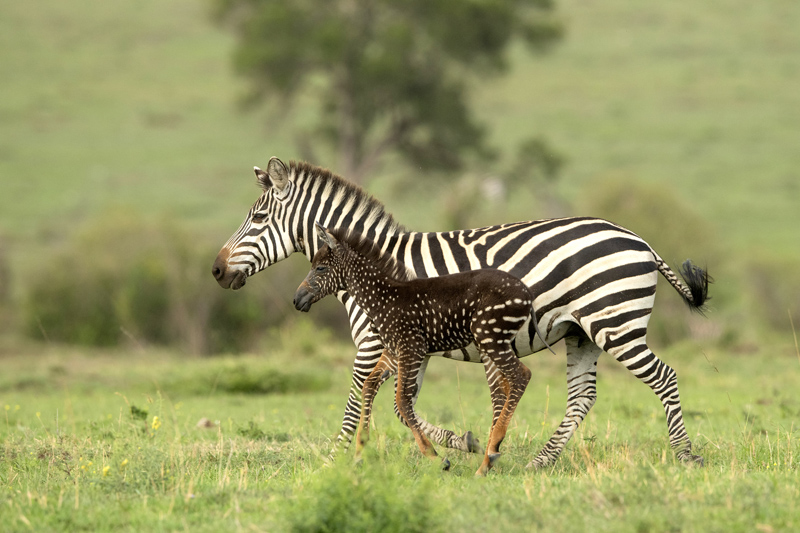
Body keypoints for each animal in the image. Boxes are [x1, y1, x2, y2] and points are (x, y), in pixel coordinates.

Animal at [294, 221, 552, 474]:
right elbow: (369, 386)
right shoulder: (393, 351)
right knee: (511, 383)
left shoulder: (412, 348)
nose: (297, 299)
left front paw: (436, 457)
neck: (383, 297)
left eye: (320, 268)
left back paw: (489, 454)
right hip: (494, 341)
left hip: (490, 338)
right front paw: (360, 452)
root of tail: (526, 292)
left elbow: (402, 401)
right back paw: (489, 456)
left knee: (521, 375)